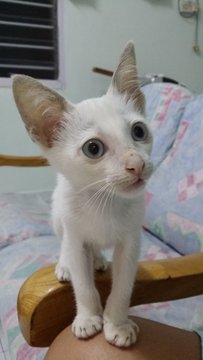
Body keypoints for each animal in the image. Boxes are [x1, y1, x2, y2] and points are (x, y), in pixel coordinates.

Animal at [12, 43, 152, 348]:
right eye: (93, 148)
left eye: (139, 131)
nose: (137, 164)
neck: (104, 201)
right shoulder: (75, 235)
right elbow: (83, 284)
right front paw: (88, 317)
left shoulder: (131, 241)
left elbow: (123, 286)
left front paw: (117, 323)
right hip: (58, 214)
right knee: (67, 244)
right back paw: (68, 264)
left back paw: (98, 259)